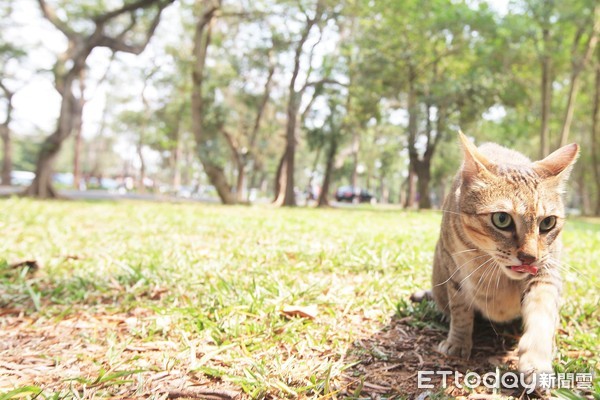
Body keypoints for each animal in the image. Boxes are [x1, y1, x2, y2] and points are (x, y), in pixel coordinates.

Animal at [418, 132, 576, 382]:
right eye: (502, 219)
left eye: (547, 223)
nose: (529, 257)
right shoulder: (454, 269)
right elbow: (460, 310)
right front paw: (458, 342)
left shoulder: (545, 272)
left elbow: (542, 312)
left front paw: (537, 362)